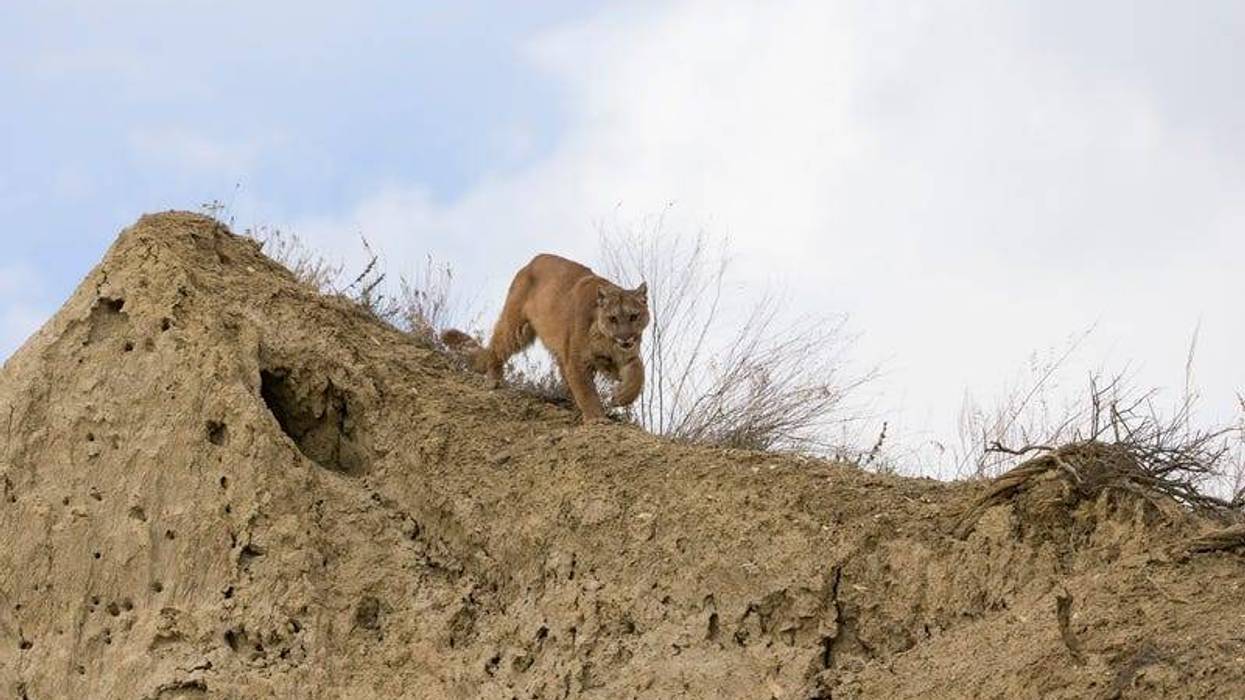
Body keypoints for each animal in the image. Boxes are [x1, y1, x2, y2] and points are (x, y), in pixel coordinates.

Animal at [442, 254, 649, 423]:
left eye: (634, 316)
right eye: (613, 318)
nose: (625, 337)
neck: (607, 341)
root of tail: (532, 262)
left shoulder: (624, 356)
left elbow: (638, 372)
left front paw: (621, 397)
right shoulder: (577, 359)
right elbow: (586, 390)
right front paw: (597, 418)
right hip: (517, 328)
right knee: (498, 348)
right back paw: (495, 380)